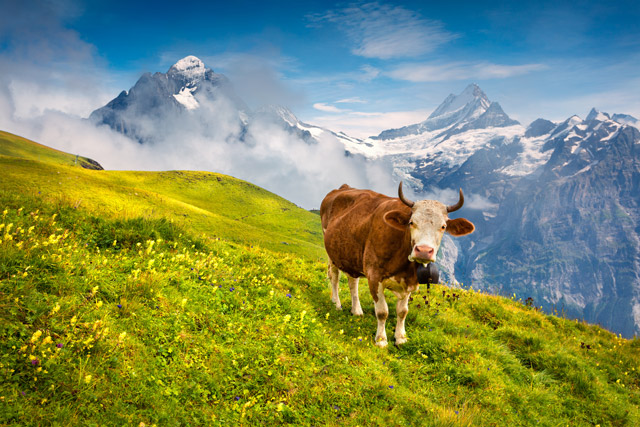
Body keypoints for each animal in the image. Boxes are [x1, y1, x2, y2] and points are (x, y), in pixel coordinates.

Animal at [320, 182, 475, 347]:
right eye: (411, 222)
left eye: (443, 226)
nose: (424, 251)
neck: (404, 267)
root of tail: (343, 187)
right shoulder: (374, 275)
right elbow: (382, 312)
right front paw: (381, 340)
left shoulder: (410, 282)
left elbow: (402, 311)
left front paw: (400, 337)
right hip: (332, 253)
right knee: (334, 277)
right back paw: (337, 303)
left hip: (350, 255)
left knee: (352, 282)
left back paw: (356, 310)